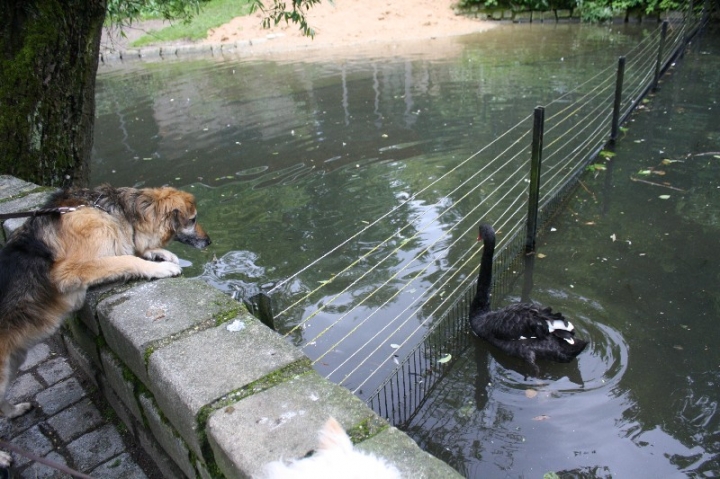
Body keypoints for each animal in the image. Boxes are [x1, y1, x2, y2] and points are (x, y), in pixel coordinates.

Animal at [0, 184, 211, 462]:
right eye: (193, 219)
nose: (209, 241)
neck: (116, 211)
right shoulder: (70, 270)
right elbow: (127, 258)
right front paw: (161, 267)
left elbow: (135, 249)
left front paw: (164, 254)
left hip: (13, 363)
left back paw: (15, 411)